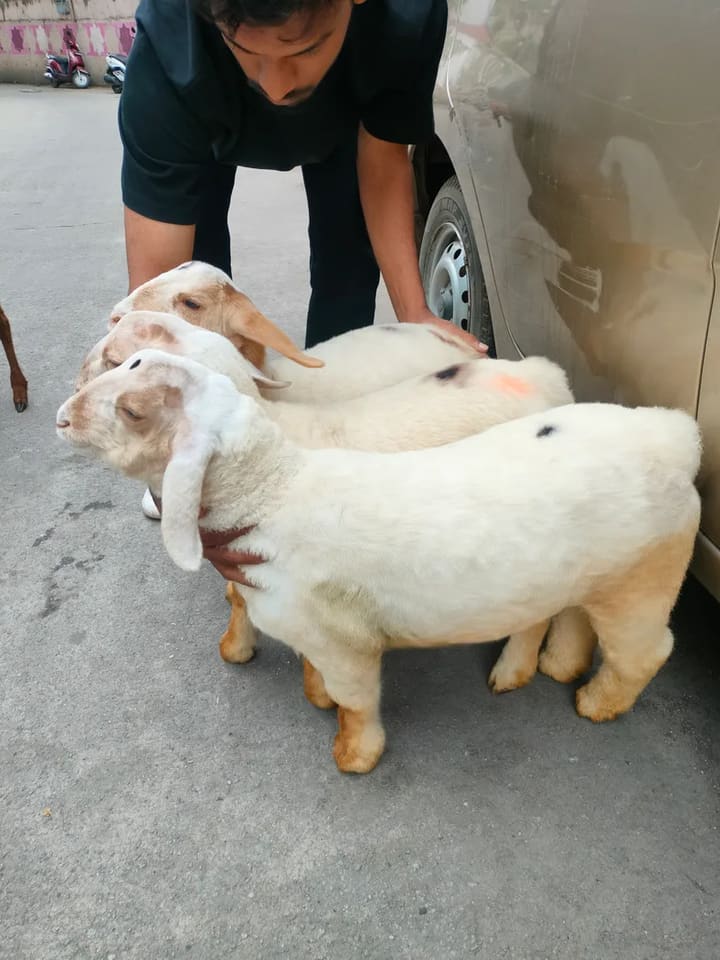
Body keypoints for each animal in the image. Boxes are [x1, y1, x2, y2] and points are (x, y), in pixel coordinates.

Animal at [57, 350, 702, 773]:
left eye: (133, 411)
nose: (63, 416)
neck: (272, 491)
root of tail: (676, 436)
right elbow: (319, 680)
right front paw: (314, 696)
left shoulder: (346, 643)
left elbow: (355, 702)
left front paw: (353, 755)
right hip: (583, 574)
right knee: (565, 617)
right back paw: (545, 668)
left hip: (643, 581)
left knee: (647, 651)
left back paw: (596, 704)